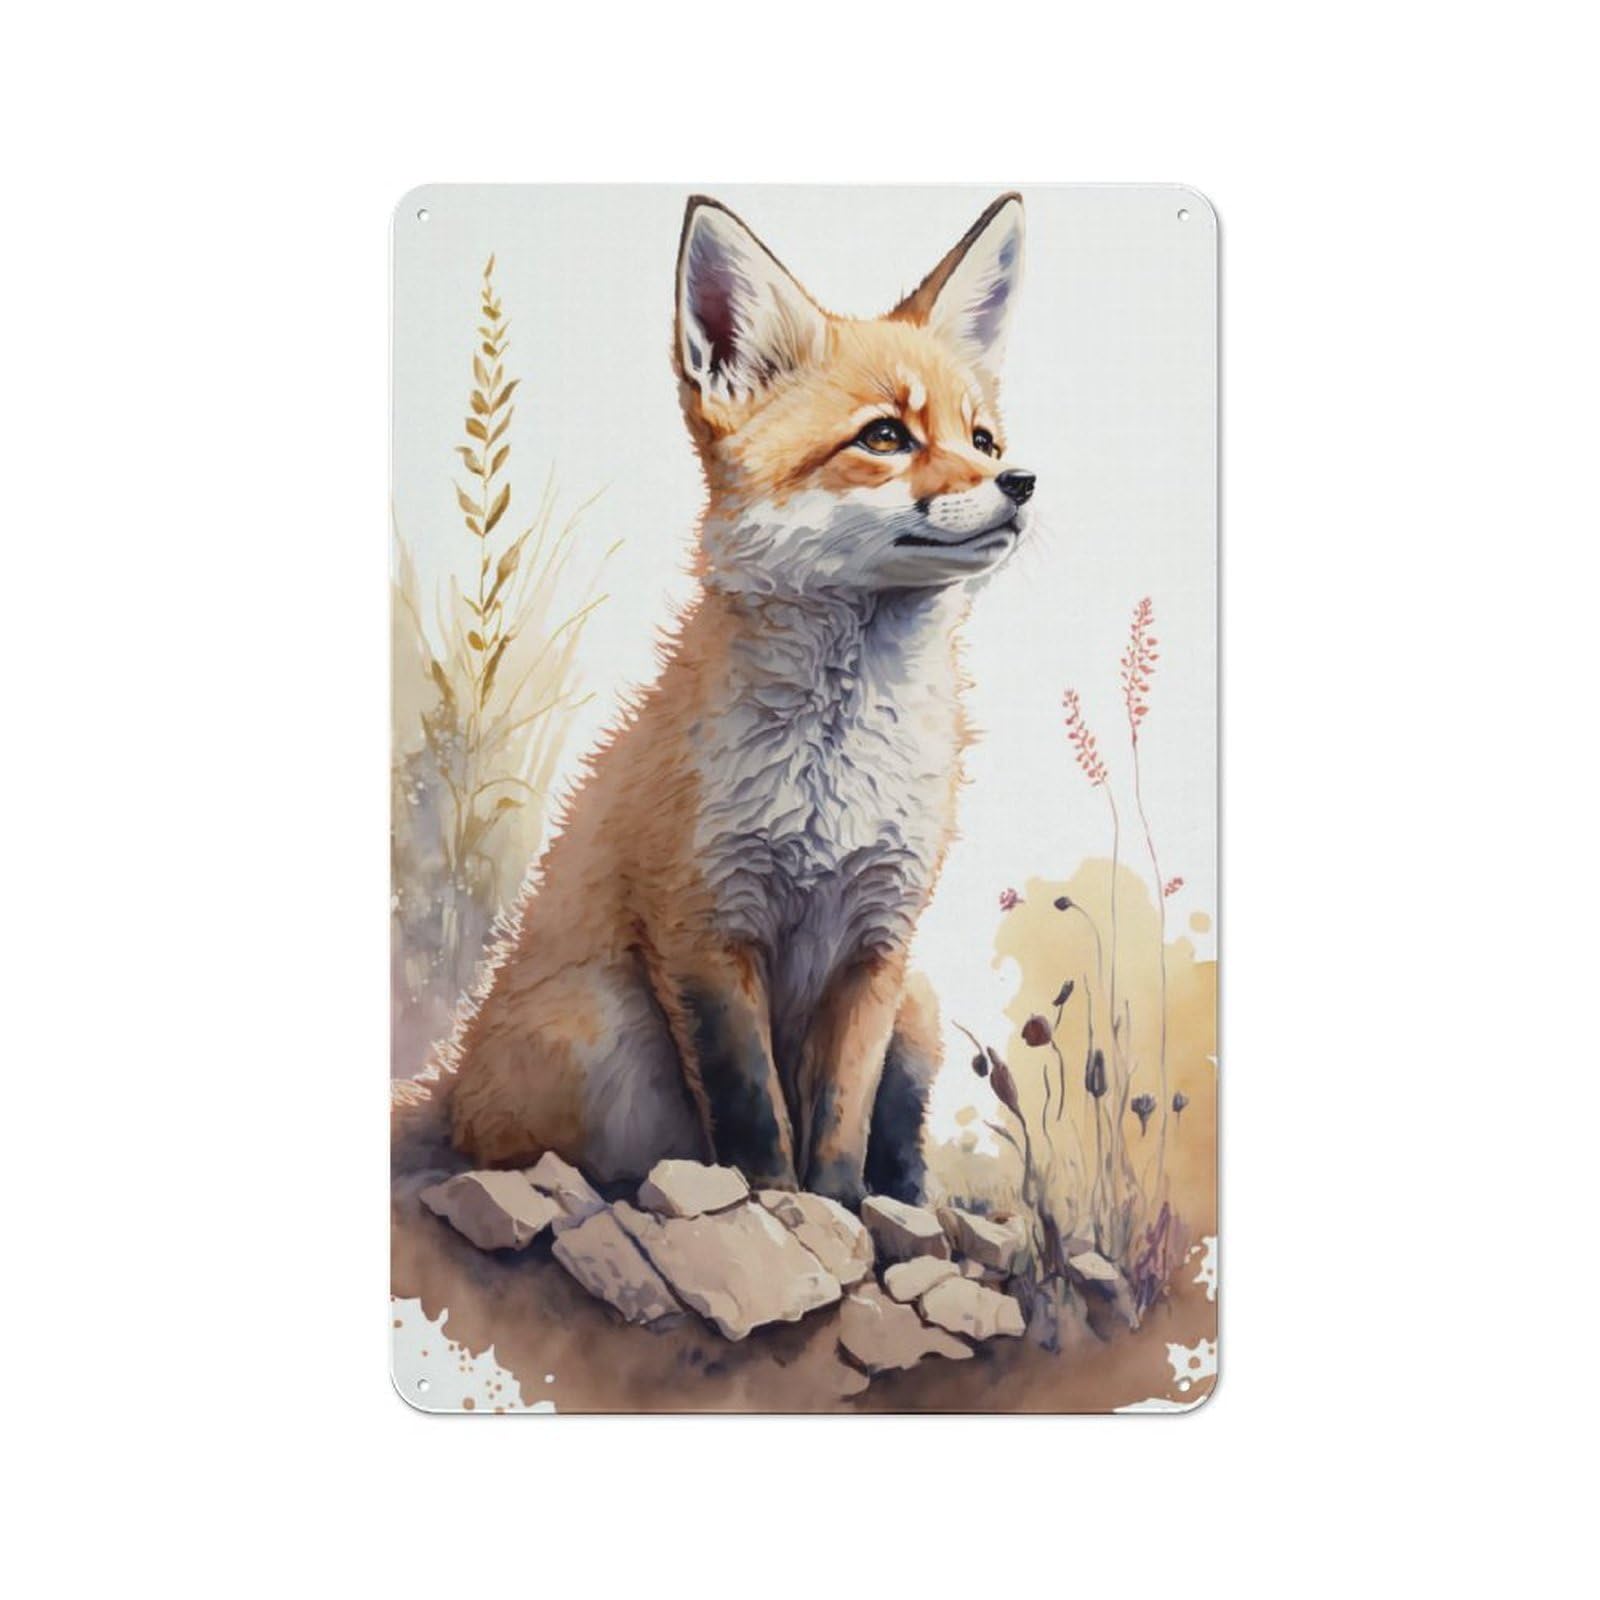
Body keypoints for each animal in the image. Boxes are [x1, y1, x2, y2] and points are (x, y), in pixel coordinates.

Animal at [399, 192, 1036, 1209]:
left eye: (982, 440)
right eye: (885, 437)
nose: (1020, 482)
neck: (836, 768)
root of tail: (448, 1081)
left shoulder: (880, 941)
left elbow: (842, 1121)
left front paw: (839, 1209)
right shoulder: (704, 928)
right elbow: (751, 1115)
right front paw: (777, 1208)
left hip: (923, 1007)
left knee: (899, 1134)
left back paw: (906, 1200)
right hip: (602, 1030)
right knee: (553, 1157)